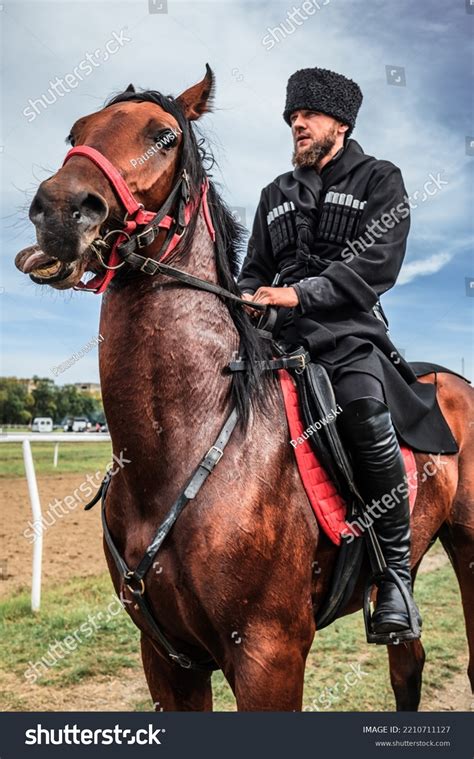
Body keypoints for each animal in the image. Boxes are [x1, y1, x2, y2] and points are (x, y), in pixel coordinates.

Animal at [14, 67, 474, 712]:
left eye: (162, 136)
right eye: (75, 133)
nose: (58, 210)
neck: (178, 447)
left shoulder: (268, 658)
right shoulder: (168, 661)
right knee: (407, 665)